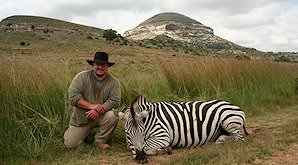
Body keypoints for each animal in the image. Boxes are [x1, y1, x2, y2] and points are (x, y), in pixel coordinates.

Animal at [117, 94, 248, 163]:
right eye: (127, 134)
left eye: (142, 132)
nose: (141, 159)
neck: (149, 119)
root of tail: (233, 105)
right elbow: (134, 146)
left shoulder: (162, 136)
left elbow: (146, 147)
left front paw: (165, 150)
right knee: (226, 137)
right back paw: (216, 142)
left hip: (228, 122)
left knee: (239, 140)